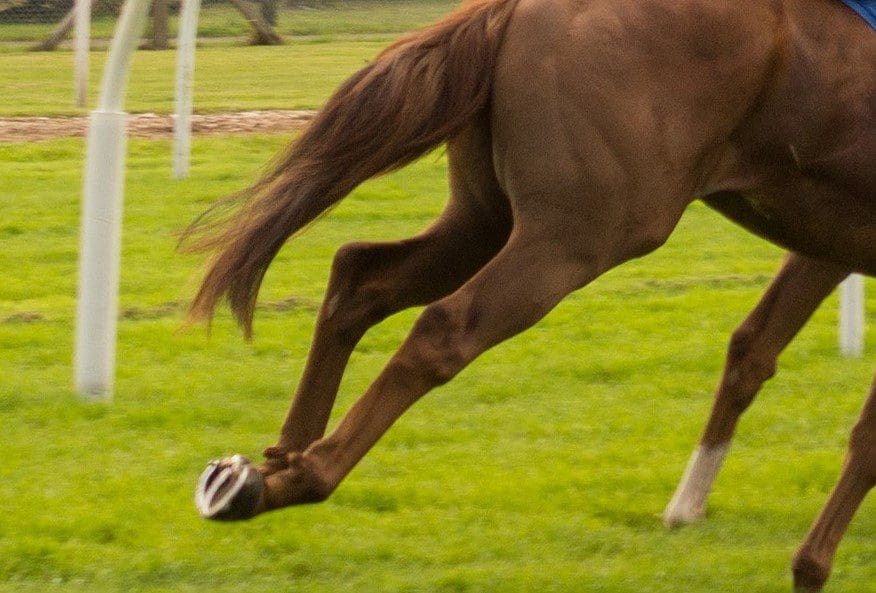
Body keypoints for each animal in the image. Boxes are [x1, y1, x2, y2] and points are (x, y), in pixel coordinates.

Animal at [188, 1, 872, 588]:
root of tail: (512, 9)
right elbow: (860, 426)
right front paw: (810, 566)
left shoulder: (827, 238)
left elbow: (753, 351)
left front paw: (690, 511)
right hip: (580, 233)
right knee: (443, 327)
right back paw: (293, 478)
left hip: (483, 217)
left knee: (359, 277)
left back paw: (277, 459)